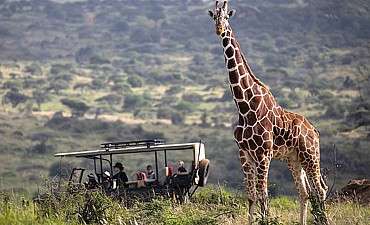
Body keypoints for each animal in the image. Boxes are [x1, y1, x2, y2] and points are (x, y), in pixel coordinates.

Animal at [207, 0, 328, 224]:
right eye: (214, 17)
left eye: (226, 17)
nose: (219, 28)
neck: (245, 107)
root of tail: (314, 131)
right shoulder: (244, 153)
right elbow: (251, 195)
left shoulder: (263, 154)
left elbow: (263, 194)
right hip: (294, 159)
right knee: (306, 192)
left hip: (310, 155)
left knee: (320, 189)